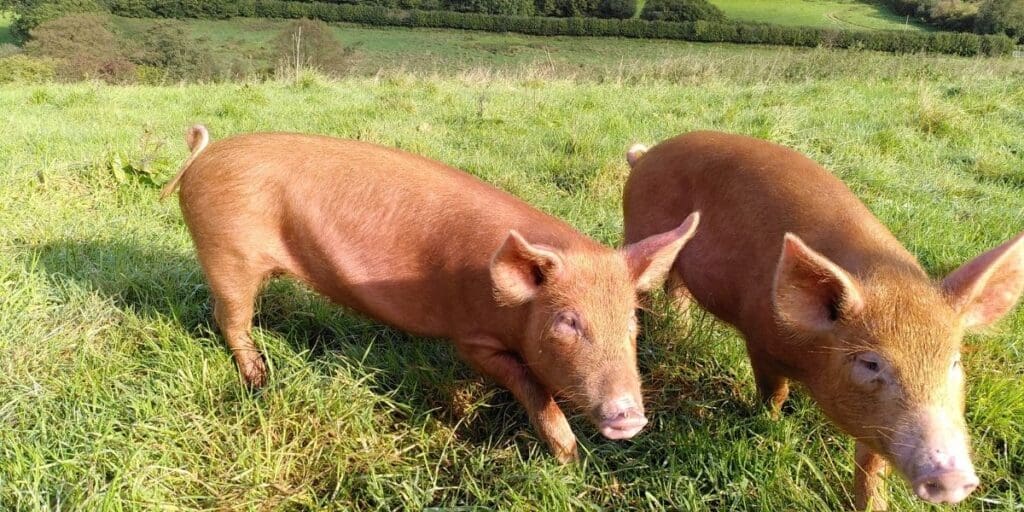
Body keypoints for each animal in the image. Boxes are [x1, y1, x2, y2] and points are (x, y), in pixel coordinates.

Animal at [161, 125, 700, 461]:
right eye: (567, 322)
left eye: (631, 323)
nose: (629, 416)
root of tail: (202, 158)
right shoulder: (471, 336)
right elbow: (532, 385)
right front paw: (570, 457)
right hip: (225, 253)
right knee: (229, 317)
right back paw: (258, 378)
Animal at [622, 131, 1024, 509]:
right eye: (871, 363)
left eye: (954, 363)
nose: (952, 476)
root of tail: (648, 156)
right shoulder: (760, 340)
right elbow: (774, 393)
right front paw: (768, 426)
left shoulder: (878, 423)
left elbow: (872, 464)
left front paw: (873, 506)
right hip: (639, 230)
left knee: (677, 288)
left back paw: (681, 331)